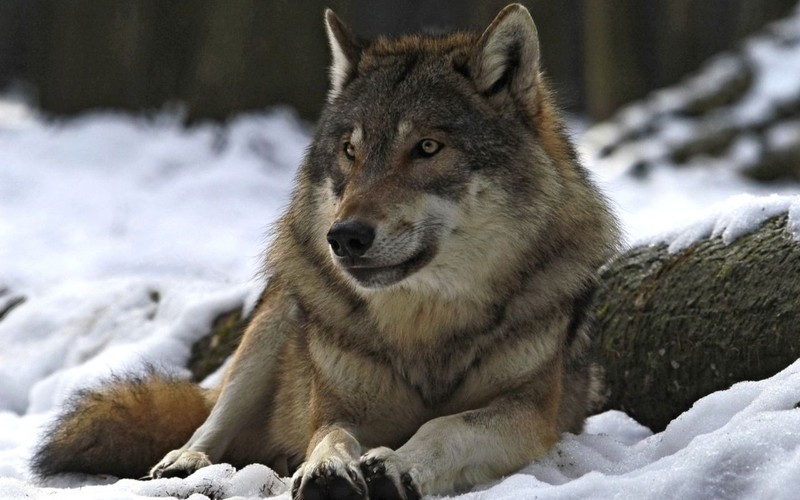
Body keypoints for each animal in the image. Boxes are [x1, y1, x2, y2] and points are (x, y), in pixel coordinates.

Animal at [32, 4, 620, 500]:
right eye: (350, 151)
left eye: (428, 147)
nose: (345, 236)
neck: (425, 328)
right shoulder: (337, 405)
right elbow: (330, 436)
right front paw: (328, 469)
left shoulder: (531, 412)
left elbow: (445, 425)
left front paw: (397, 465)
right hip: (278, 318)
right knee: (211, 419)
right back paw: (184, 462)